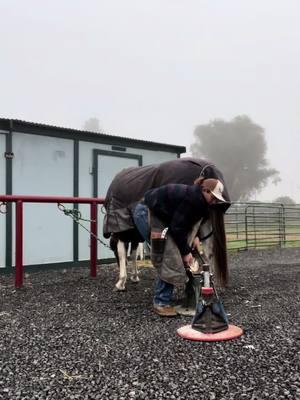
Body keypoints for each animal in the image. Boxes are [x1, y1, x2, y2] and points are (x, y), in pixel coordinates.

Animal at [102, 158, 230, 292]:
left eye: (112, 249)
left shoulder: (121, 231)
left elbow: (123, 253)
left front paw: (121, 282)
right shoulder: (133, 233)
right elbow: (133, 254)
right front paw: (134, 277)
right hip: (205, 223)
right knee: (208, 253)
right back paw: (207, 282)